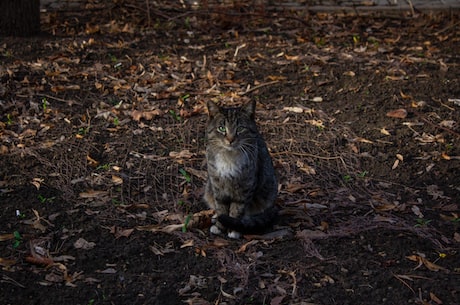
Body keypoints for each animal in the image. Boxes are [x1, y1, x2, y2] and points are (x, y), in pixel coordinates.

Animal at [204, 100, 276, 238]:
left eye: (240, 128)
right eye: (221, 128)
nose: (230, 140)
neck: (229, 157)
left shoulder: (245, 187)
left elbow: (237, 209)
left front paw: (233, 229)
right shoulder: (217, 186)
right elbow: (221, 208)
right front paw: (220, 226)